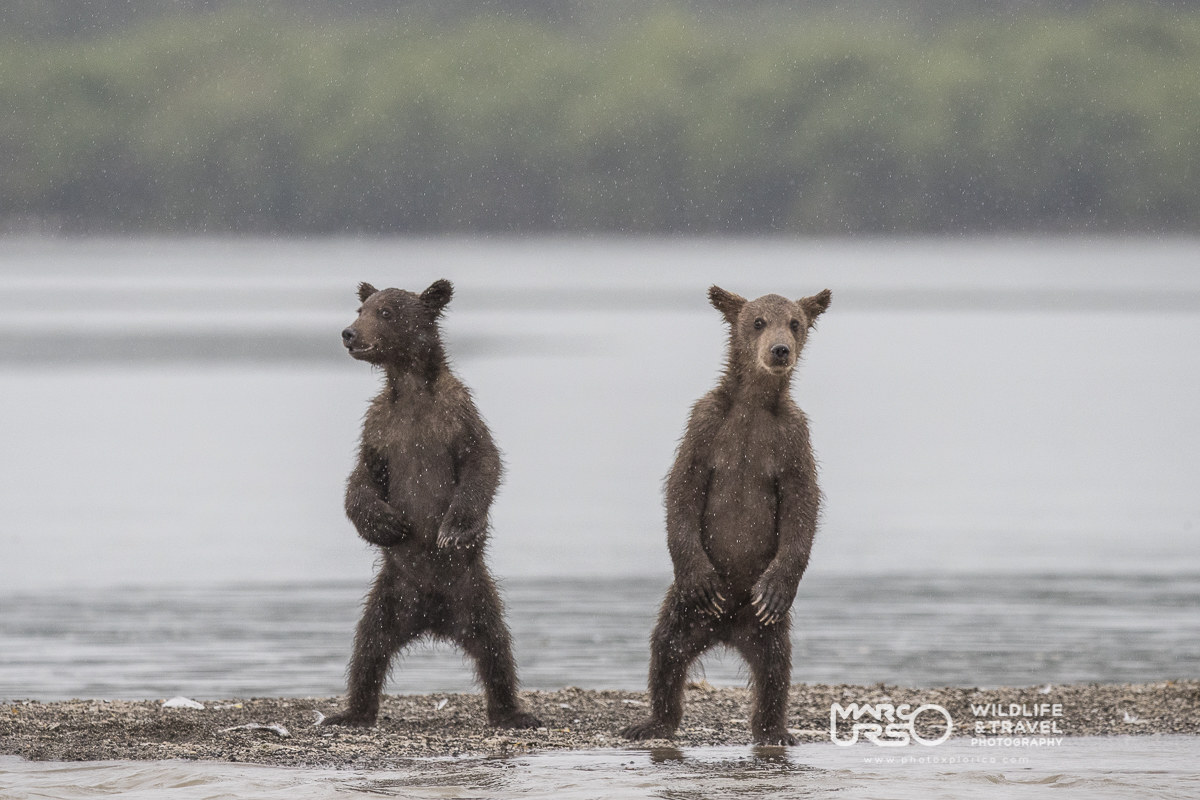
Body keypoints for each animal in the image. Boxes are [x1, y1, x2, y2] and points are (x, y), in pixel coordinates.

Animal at [321, 279, 540, 730]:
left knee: (496, 648)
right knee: (368, 647)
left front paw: (453, 530)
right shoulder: (380, 429)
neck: (410, 389)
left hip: (472, 592)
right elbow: (361, 480)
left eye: (386, 312)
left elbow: (482, 463)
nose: (348, 333)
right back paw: (351, 712)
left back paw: (512, 712)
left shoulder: (455, 417)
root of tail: (433, 617)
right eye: (361, 308)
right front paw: (387, 525)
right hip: (391, 595)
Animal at [621, 284, 831, 746]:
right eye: (757, 321)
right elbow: (682, 488)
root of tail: (728, 629)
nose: (780, 350)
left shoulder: (792, 438)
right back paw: (652, 722)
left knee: (775, 668)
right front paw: (701, 578)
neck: (753, 403)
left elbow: (802, 504)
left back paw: (774, 730)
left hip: (768, 626)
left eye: (795, 323)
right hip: (685, 611)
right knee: (666, 651)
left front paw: (777, 586)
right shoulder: (707, 426)